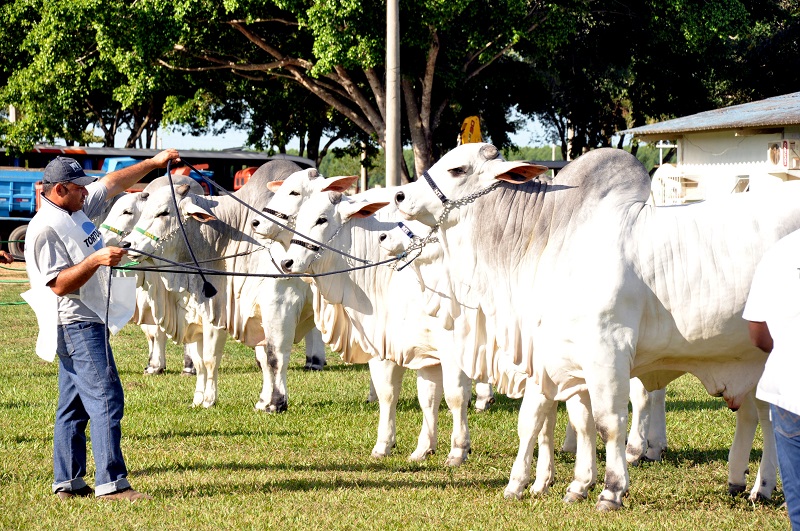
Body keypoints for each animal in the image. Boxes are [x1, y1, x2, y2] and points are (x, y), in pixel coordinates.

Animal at [119, 161, 324, 412]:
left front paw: (275, 403)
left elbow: (273, 357)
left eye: (163, 213)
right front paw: (203, 399)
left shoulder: (278, 307)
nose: (126, 244)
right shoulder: (209, 315)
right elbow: (208, 360)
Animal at [276, 191, 476, 466]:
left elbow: (455, 397)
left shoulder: (452, 353)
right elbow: (407, 396)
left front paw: (458, 450)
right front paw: (403, 447)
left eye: (321, 219)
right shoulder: (404, 350)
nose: (287, 262)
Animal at [390, 144, 792, 512]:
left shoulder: (606, 351)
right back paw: (756, 486)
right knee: (764, 416)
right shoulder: (565, 358)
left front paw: (611, 491)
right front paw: (576, 486)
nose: (399, 195)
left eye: (456, 169)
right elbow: (577, 422)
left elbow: (608, 422)